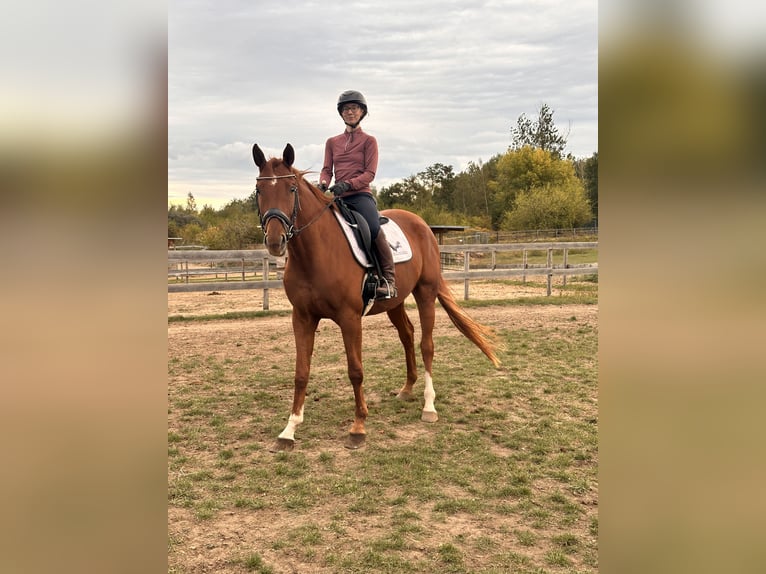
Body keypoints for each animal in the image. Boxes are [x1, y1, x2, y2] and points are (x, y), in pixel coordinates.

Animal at [252, 143, 501, 451]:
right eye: (259, 190)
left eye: (292, 189)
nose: (276, 241)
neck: (316, 254)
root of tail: (422, 225)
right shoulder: (302, 318)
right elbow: (301, 372)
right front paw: (289, 430)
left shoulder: (349, 319)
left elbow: (355, 370)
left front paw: (358, 427)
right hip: (395, 302)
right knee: (407, 335)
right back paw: (407, 389)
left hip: (425, 293)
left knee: (426, 345)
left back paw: (428, 407)